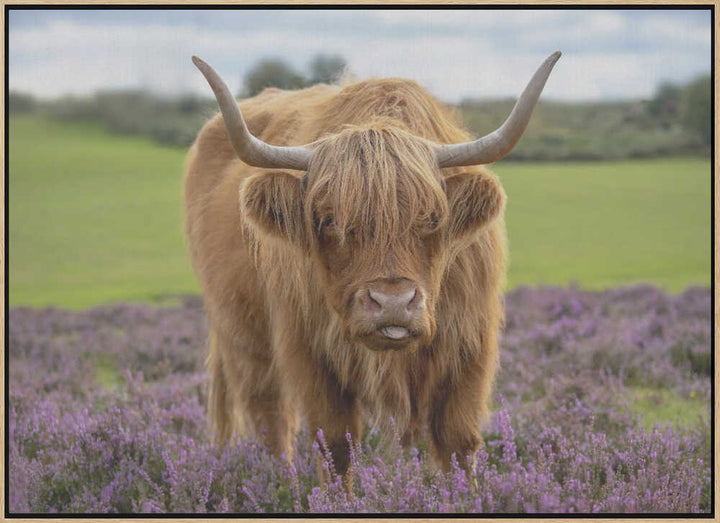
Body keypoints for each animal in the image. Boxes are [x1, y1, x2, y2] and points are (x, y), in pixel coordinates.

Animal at [185, 52, 561, 481]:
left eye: (433, 218)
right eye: (329, 220)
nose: (393, 303)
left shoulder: (469, 344)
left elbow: (458, 442)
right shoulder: (310, 351)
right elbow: (334, 445)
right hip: (244, 339)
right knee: (270, 419)